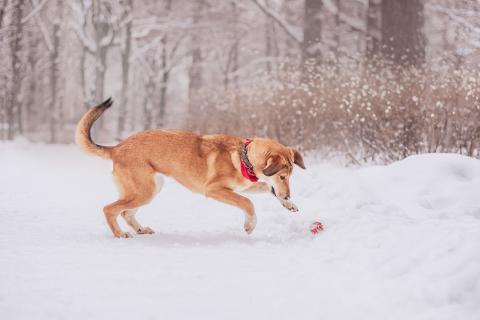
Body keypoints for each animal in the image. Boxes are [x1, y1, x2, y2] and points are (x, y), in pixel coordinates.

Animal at [77, 99, 306, 239]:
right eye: (283, 176)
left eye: (290, 176)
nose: (288, 195)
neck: (243, 157)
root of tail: (117, 147)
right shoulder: (215, 190)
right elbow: (248, 203)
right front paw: (250, 225)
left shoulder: (247, 186)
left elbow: (266, 188)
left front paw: (289, 204)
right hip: (143, 191)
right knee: (109, 209)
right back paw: (119, 234)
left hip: (149, 190)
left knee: (125, 213)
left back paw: (141, 229)